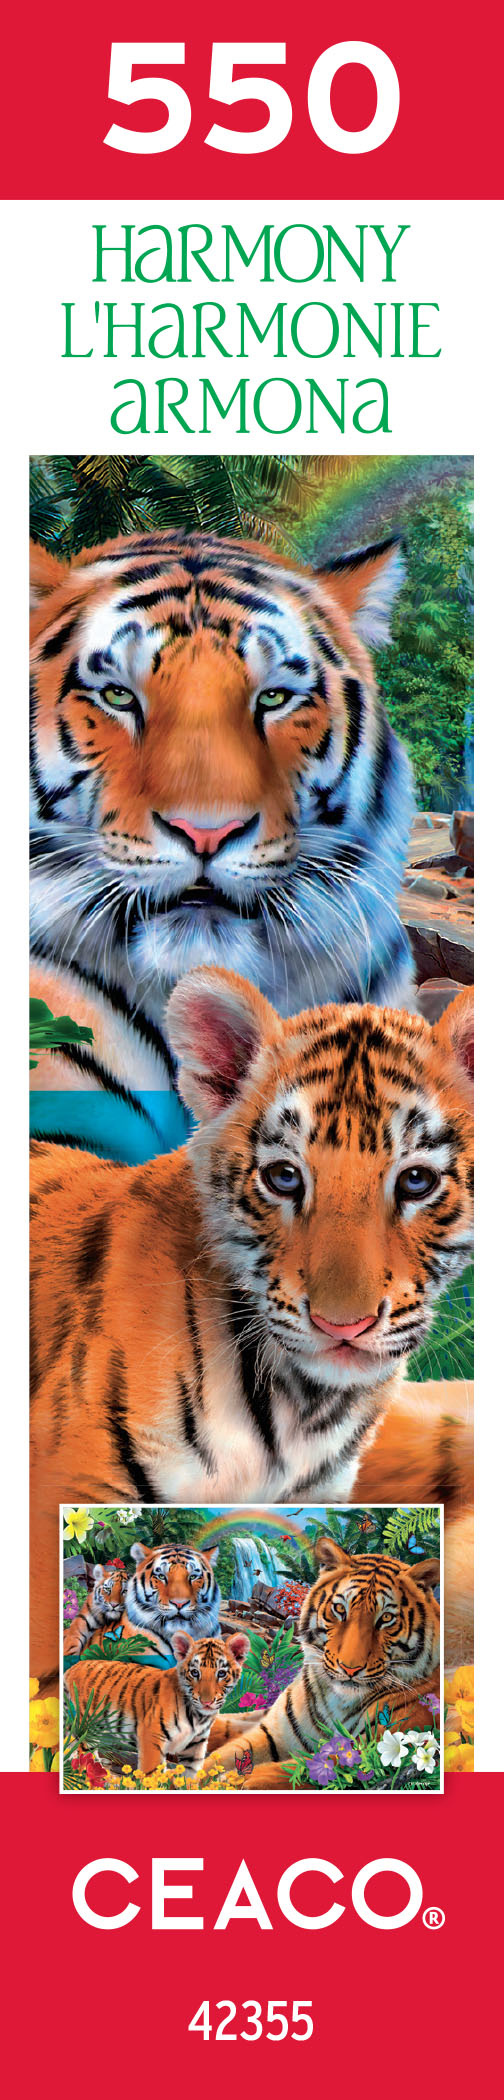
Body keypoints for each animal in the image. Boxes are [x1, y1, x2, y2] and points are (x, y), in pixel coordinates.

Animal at [65, 1631, 250, 1778]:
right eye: (195, 1672)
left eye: (222, 1673)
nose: (207, 1702)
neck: (199, 1717)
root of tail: (74, 1667)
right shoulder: (152, 1737)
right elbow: (152, 1774)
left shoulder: (195, 1745)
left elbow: (190, 1776)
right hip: (87, 1724)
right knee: (84, 1751)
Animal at [202, 1537, 440, 1789]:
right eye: (340, 1609)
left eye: (386, 1618)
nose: (350, 1668)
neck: (339, 1702)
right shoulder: (274, 1734)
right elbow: (223, 1756)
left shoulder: (377, 1745)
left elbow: (312, 1766)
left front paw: (237, 1780)